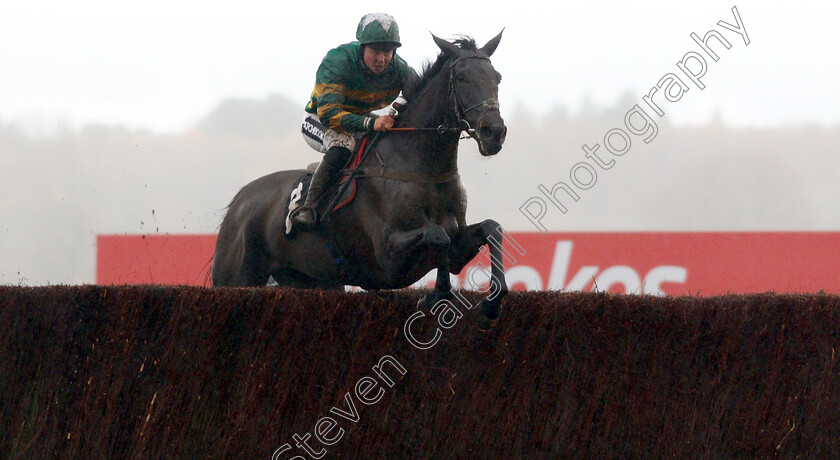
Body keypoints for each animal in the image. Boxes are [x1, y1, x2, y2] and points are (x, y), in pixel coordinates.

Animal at [213, 32, 508, 320]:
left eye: (497, 77)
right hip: (235, 277)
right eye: (461, 77)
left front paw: (492, 302)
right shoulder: (387, 257)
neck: (422, 167)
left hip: (311, 280)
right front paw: (437, 295)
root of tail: (239, 200)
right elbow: (437, 235)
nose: (494, 132)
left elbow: (491, 227)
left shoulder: (456, 249)